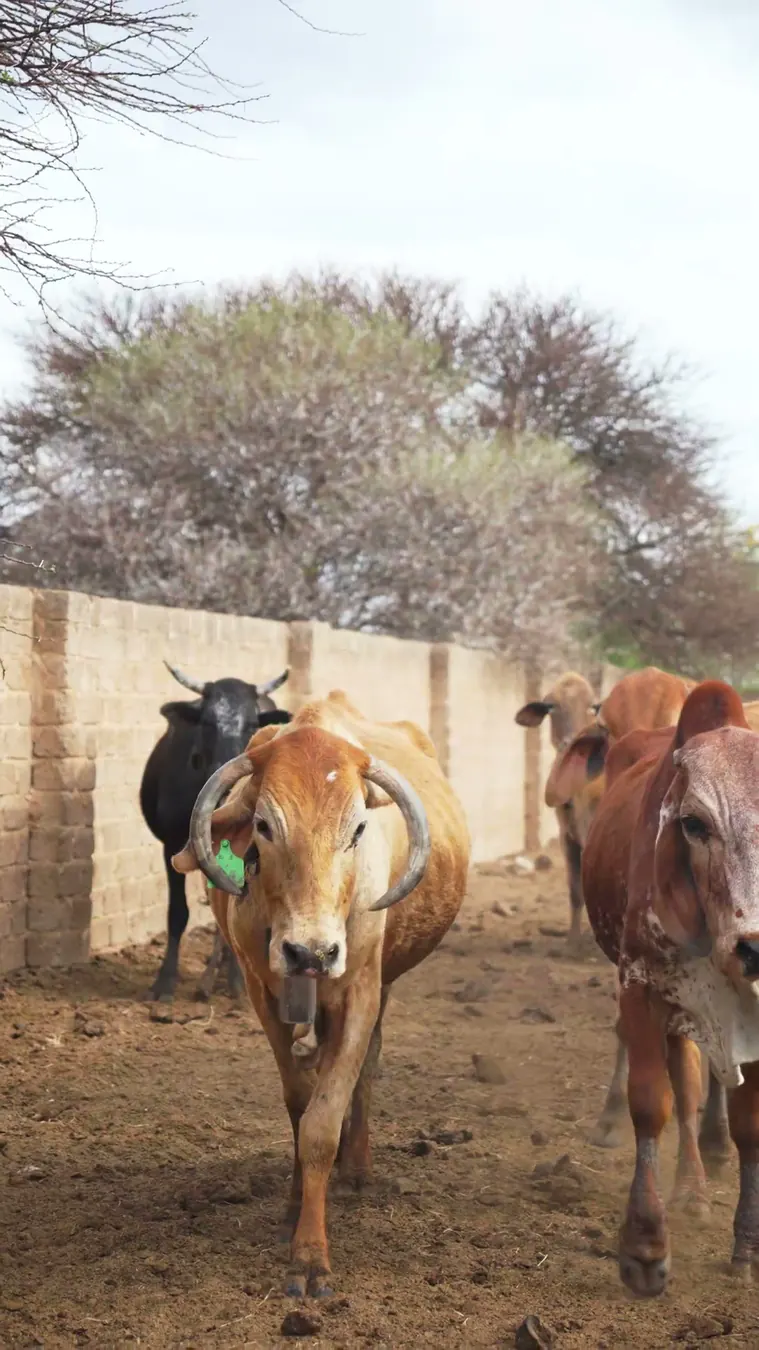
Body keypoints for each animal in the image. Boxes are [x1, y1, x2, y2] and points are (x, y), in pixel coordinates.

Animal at [139, 661, 292, 1002]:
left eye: (252, 723)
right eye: (207, 722)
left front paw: (235, 981)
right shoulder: (171, 845)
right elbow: (177, 913)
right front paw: (164, 981)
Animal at [171, 690, 470, 1296]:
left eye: (357, 829)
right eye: (264, 825)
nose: (311, 953)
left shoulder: (360, 992)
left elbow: (322, 1123)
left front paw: (310, 1252)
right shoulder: (262, 994)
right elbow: (298, 1101)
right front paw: (293, 1205)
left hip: (381, 986)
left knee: (368, 1067)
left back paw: (357, 1169)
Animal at [515, 672, 600, 945]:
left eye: (592, 706)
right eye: (551, 706)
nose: (570, 742)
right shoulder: (569, 834)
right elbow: (576, 890)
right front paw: (573, 939)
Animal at [579, 681, 759, 1296]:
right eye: (694, 824)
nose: (755, 948)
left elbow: (748, 1119)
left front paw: (746, 1244)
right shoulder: (640, 987)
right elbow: (652, 1103)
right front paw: (645, 1247)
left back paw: (694, 1186)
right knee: (675, 1077)